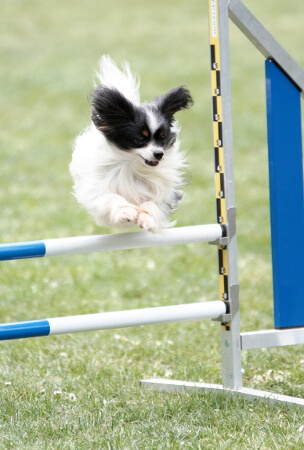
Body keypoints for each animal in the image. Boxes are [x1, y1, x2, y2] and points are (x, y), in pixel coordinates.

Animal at [70, 54, 192, 234]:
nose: (159, 154)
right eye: (140, 140)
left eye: (162, 138)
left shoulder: (164, 193)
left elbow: (153, 204)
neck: (133, 166)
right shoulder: (98, 191)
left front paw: (147, 218)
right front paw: (126, 212)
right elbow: (112, 197)